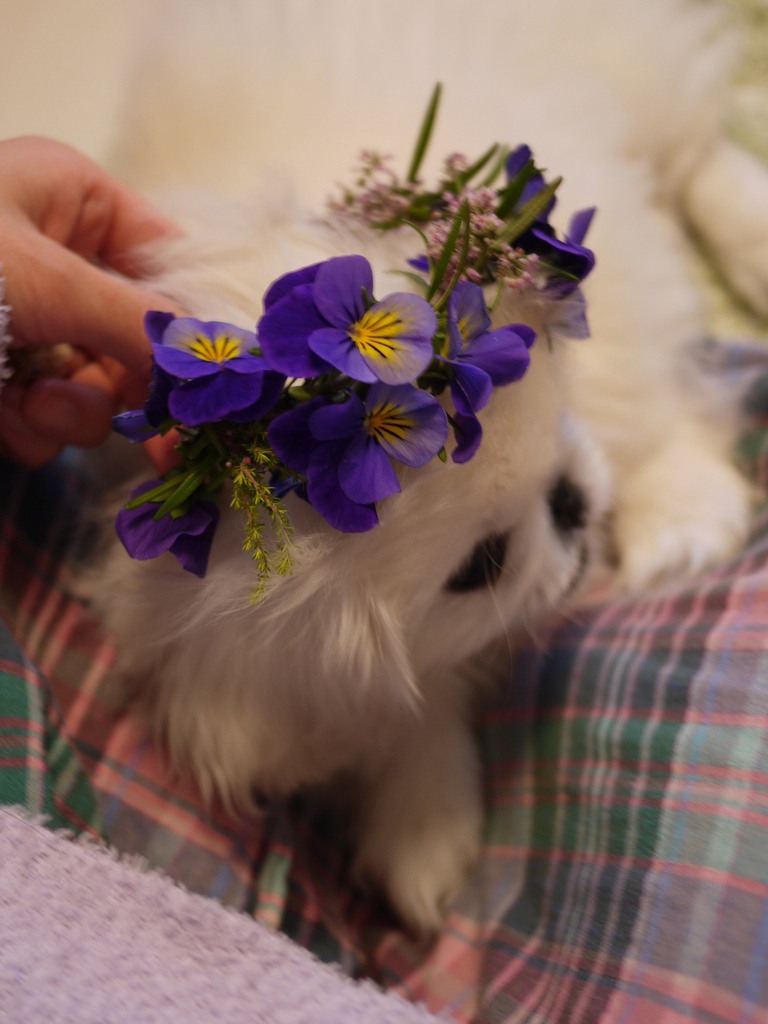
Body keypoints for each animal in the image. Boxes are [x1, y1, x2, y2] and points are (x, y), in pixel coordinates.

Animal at [87, 0, 768, 933]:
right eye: (481, 566)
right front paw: (426, 841)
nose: (571, 503)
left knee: (694, 154)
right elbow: (414, 713)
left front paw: (684, 514)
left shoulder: (626, 320)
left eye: (551, 425)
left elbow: (656, 409)